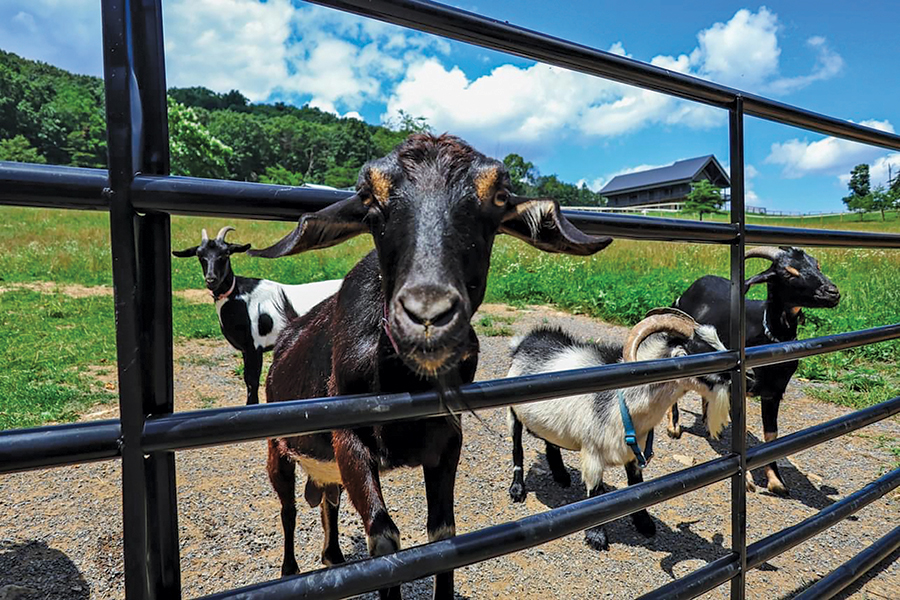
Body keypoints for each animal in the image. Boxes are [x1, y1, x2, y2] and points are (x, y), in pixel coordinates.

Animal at [172, 226, 342, 405]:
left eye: (226, 253)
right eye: (200, 255)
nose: (211, 279)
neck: (239, 296)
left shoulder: (255, 346)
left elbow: (252, 382)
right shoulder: (246, 350)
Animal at [250, 134, 613, 599]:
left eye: (498, 196)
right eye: (368, 196)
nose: (428, 315)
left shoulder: (447, 438)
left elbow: (443, 537)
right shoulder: (348, 438)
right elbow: (384, 540)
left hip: (324, 467)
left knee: (328, 499)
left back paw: (333, 557)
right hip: (278, 449)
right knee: (288, 508)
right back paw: (290, 571)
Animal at [507, 308, 730, 551]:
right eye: (699, 348)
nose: (739, 374)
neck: (624, 400)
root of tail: (526, 340)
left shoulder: (633, 451)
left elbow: (636, 486)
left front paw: (645, 525)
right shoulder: (592, 452)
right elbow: (596, 492)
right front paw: (596, 536)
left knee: (551, 442)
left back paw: (561, 475)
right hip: (513, 413)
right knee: (517, 448)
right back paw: (517, 489)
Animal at [667, 246, 840, 495]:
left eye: (816, 265)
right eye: (788, 273)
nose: (832, 292)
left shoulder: (774, 392)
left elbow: (772, 435)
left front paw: (777, 482)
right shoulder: (737, 387)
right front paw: (748, 480)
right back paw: (674, 427)